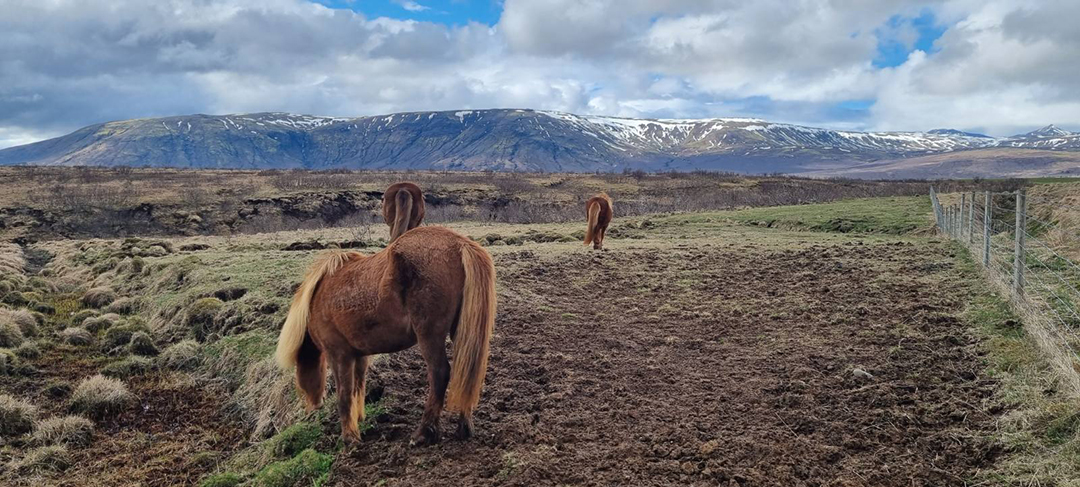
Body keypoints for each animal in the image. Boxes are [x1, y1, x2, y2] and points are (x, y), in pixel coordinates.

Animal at [275, 226, 496, 446]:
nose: (313, 407)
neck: (317, 298)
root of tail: (461, 244)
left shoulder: (338, 355)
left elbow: (344, 395)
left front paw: (350, 438)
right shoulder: (359, 355)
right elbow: (358, 388)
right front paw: (359, 421)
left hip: (429, 335)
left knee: (440, 373)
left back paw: (423, 433)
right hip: (460, 333)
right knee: (465, 372)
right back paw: (464, 428)